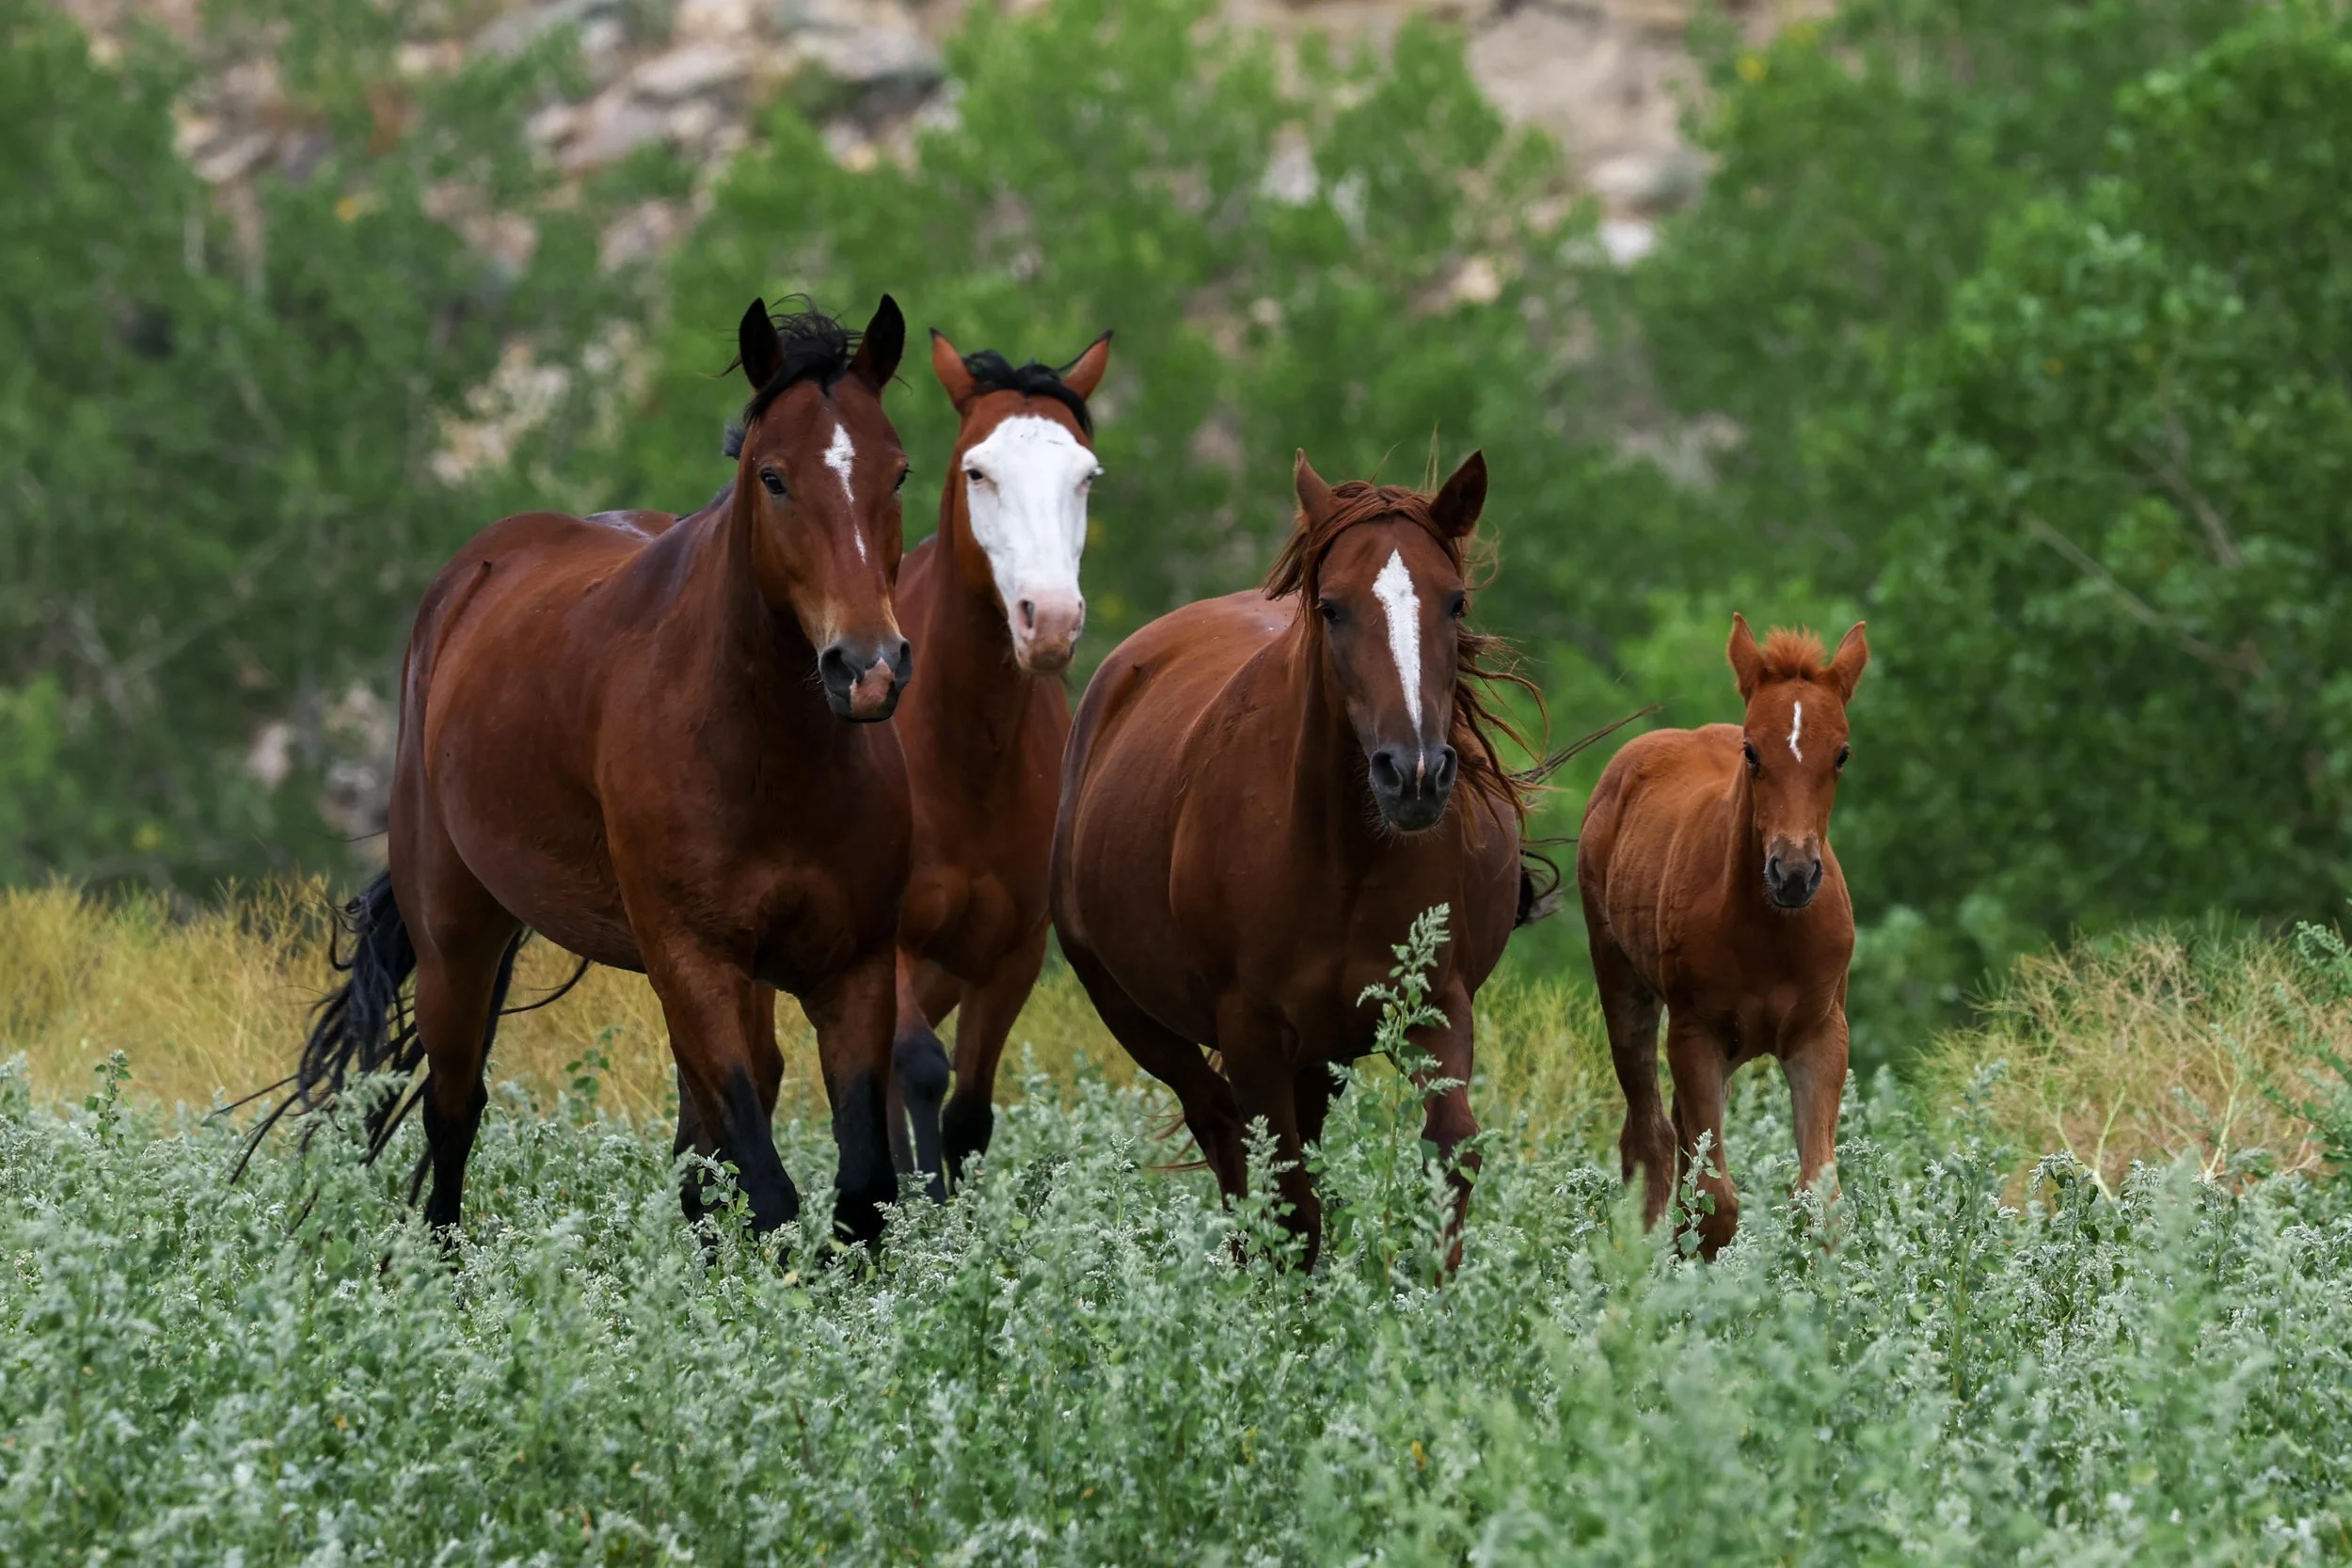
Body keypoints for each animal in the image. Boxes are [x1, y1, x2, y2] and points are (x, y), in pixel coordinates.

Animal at [255, 296, 917, 1247]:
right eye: (775, 478)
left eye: (897, 474)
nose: (865, 668)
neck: (772, 758)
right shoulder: (692, 960)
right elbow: (769, 1186)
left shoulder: (853, 968)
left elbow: (858, 1192)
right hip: (457, 933)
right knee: (453, 1110)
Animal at [883, 326, 1113, 1199]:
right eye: (977, 471)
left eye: (1085, 475)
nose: (1048, 619)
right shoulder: (888, 945)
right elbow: (916, 1070)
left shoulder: (1010, 954)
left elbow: (970, 1112)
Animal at [1050, 451, 1539, 1269]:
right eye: (1333, 608)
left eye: (1457, 602)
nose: (1413, 774)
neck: (1344, 858)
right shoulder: (1250, 1033)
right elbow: (1288, 1202)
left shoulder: (1436, 1003)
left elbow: (1450, 1151)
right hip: (1133, 1011)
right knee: (1222, 1129)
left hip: (1320, 1053)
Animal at [1576, 614, 1869, 1257]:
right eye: (1752, 751)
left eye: (1842, 754)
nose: (1792, 873)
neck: (1768, 934)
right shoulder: (1695, 1035)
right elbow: (1716, 1206)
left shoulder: (1820, 1034)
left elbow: (1821, 1202)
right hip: (1623, 985)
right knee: (1650, 1137)